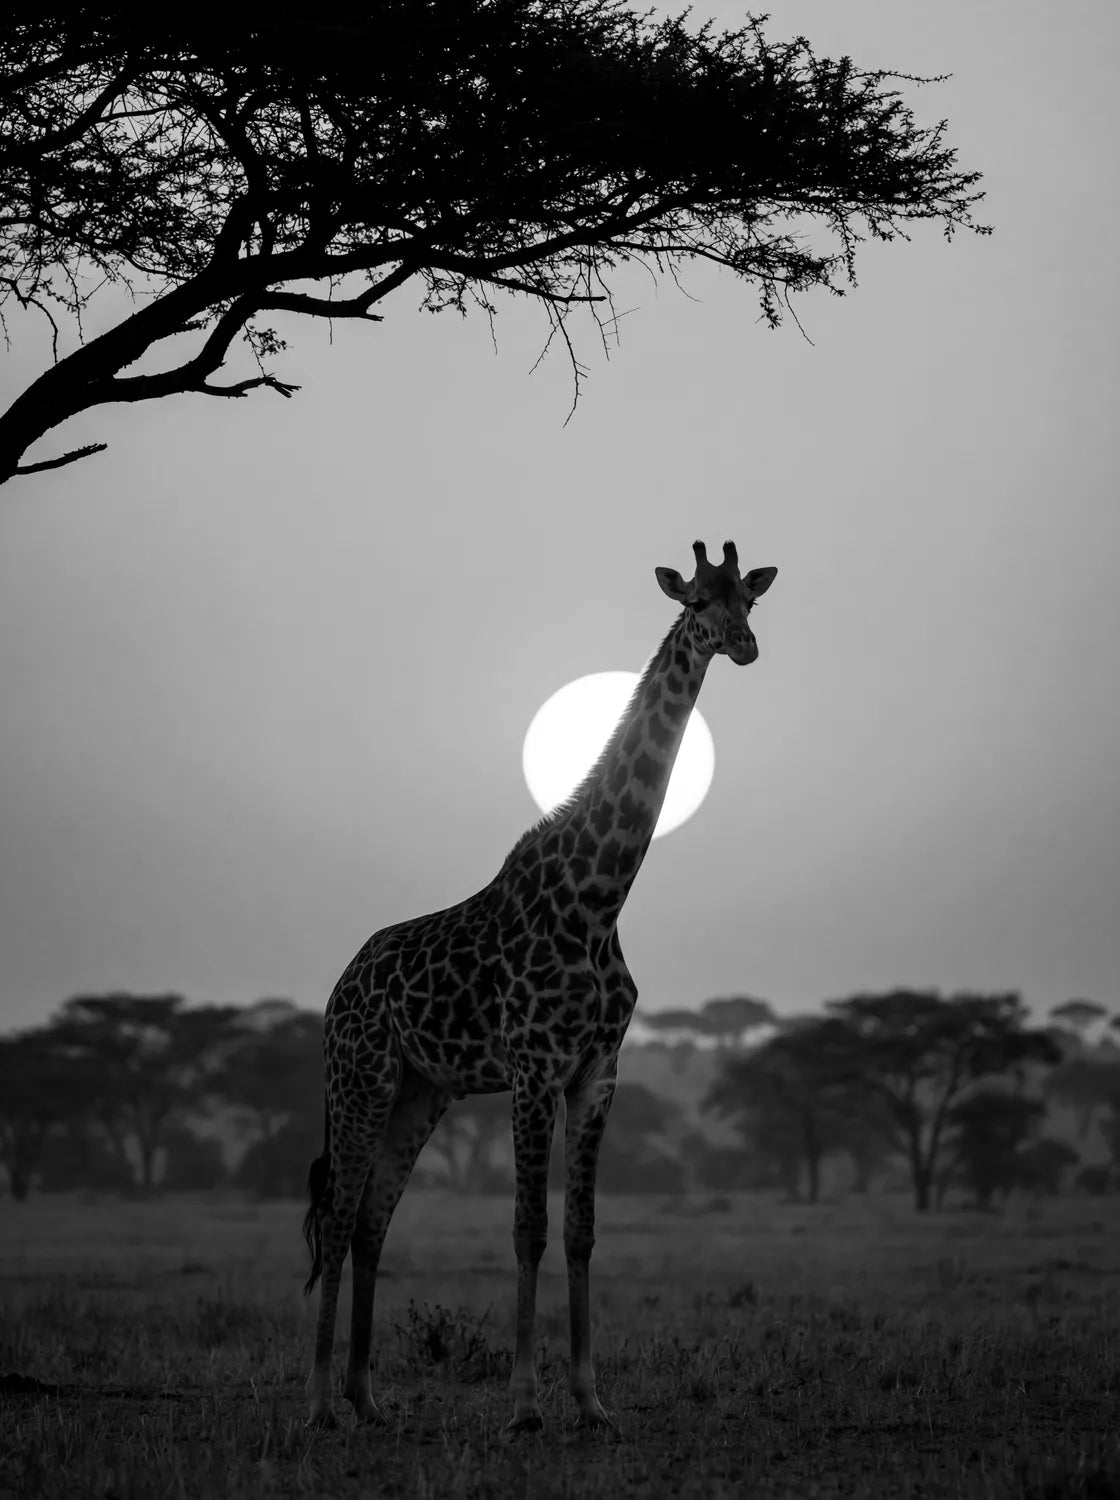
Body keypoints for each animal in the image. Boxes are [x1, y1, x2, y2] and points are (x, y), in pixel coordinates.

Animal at [302, 539, 777, 1431]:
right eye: (697, 601)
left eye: (750, 601)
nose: (744, 646)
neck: (599, 899)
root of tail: (338, 989)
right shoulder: (531, 1069)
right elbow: (528, 1228)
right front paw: (524, 1405)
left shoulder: (596, 1072)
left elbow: (582, 1230)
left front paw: (591, 1402)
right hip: (361, 1078)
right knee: (341, 1213)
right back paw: (318, 1404)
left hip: (422, 1089)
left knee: (372, 1222)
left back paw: (367, 1399)